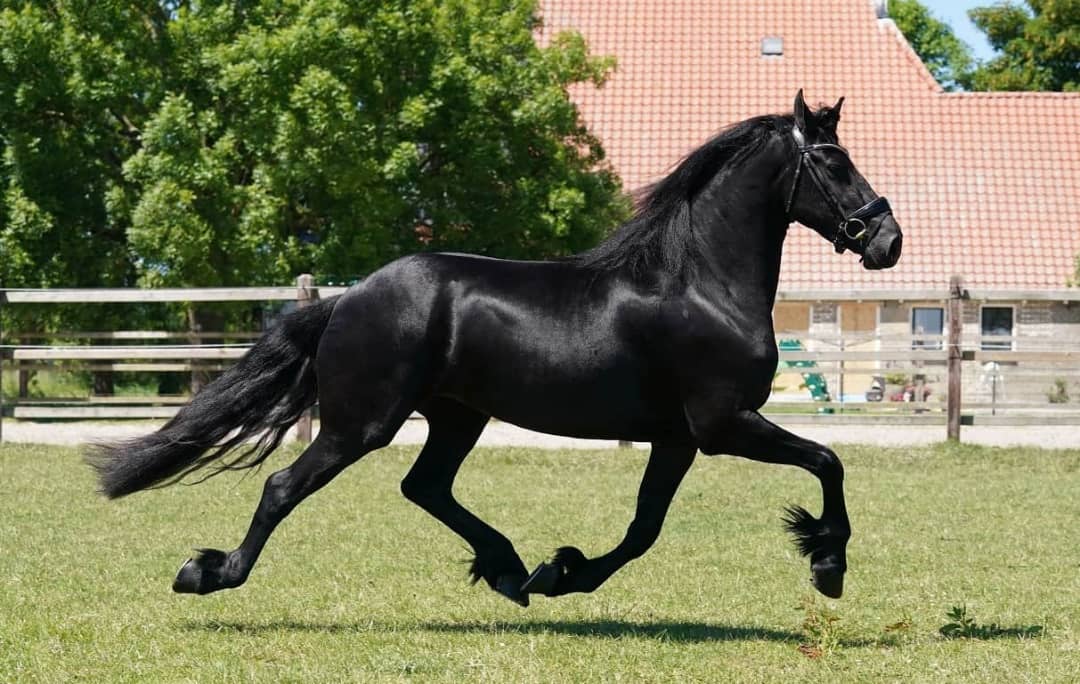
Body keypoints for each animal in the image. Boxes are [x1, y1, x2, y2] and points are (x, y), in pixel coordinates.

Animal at [88, 91, 902, 607]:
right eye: (833, 162)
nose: (887, 240)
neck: (699, 284)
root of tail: (348, 299)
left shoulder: (678, 437)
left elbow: (643, 529)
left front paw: (561, 573)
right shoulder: (724, 425)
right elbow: (827, 461)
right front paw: (828, 562)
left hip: (456, 415)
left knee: (425, 487)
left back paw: (510, 571)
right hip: (364, 422)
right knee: (285, 487)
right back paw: (208, 573)